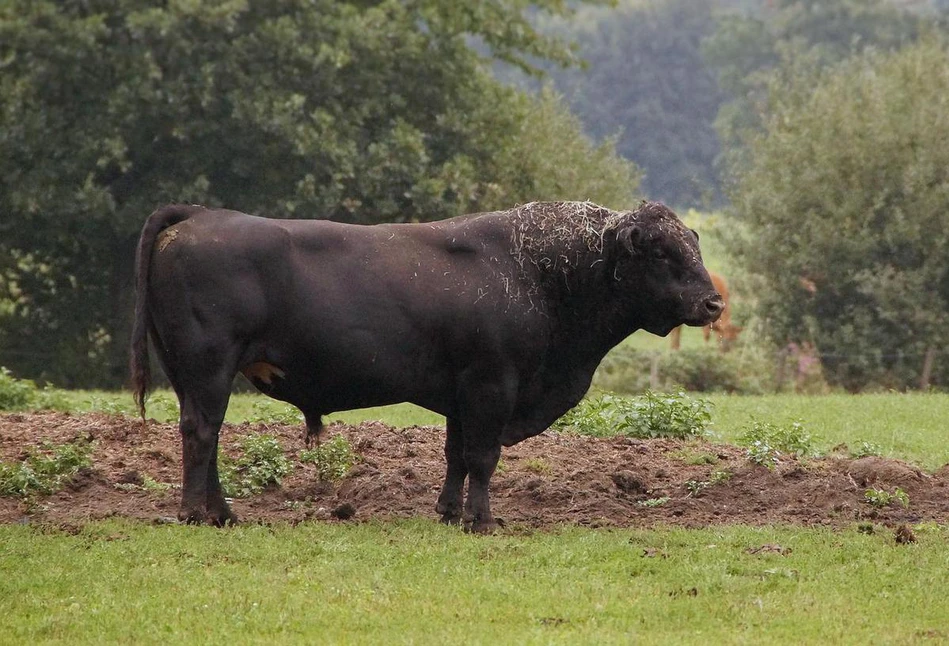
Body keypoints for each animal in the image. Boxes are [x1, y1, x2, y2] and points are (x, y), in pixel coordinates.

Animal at [130, 201, 724, 532]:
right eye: (661, 252)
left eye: (693, 244)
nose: (714, 303)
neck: (537, 271)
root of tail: (200, 215)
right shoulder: (492, 384)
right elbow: (482, 457)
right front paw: (482, 521)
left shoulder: (462, 394)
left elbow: (456, 456)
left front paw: (449, 511)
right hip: (209, 370)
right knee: (202, 433)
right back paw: (196, 514)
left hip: (194, 377)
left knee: (205, 435)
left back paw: (224, 514)